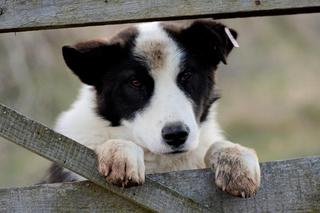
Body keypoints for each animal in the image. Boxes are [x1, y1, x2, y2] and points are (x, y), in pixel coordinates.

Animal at [47, 20, 260, 198]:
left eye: (186, 75)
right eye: (135, 83)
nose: (176, 135)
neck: (160, 162)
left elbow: (214, 146)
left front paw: (234, 157)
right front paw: (120, 151)